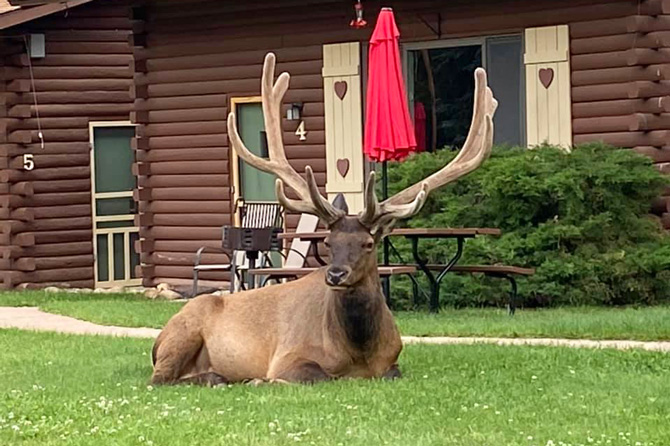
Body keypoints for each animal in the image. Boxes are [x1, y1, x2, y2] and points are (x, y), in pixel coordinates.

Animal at [152, 52, 498, 386]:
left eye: (369, 243)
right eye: (329, 242)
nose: (335, 274)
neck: (358, 353)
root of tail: (156, 344)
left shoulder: (393, 363)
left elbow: (392, 373)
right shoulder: (288, 356)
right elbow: (315, 375)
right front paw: (261, 381)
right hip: (183, 328)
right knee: (159, 379)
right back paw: (219, 378)